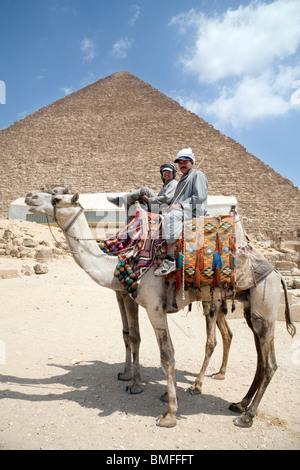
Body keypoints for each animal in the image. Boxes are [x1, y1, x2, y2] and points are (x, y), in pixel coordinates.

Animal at [24, 189, 296, 428]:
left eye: (57, 198)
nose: (30, 196)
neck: (117, 263)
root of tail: (278, 275)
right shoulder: (129, 297)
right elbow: (131, 336)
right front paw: (133, 381)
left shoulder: (154, 307)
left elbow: (167, 355)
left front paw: (169, 414)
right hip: (250, 309)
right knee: (258, 357)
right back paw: (238, 403)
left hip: (260, 306)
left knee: (265, 362)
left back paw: (242, 413)